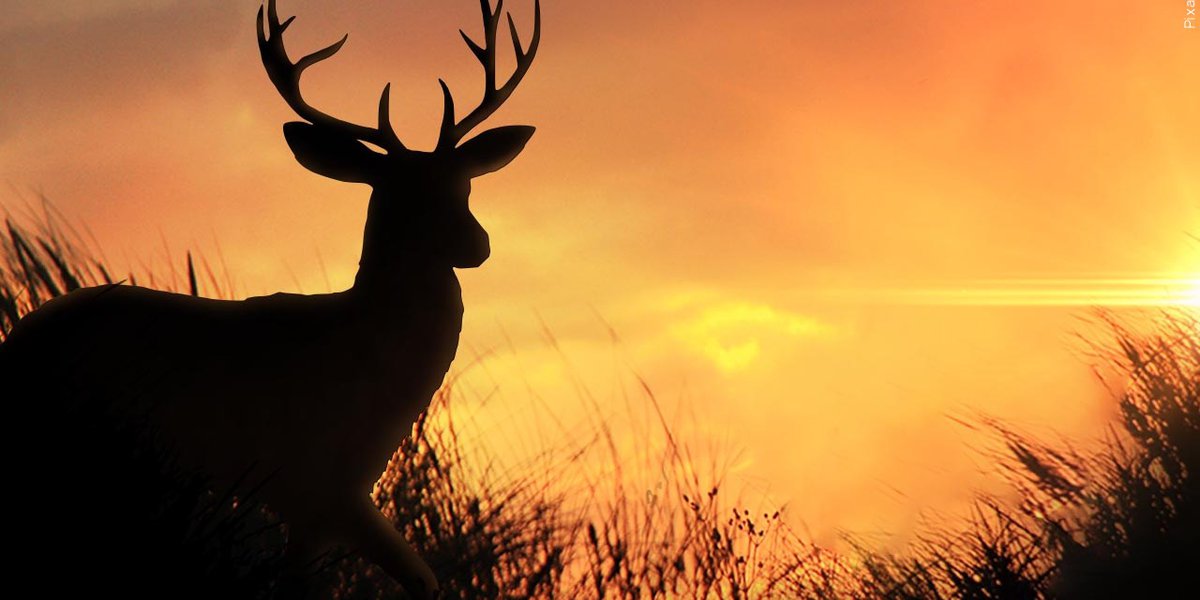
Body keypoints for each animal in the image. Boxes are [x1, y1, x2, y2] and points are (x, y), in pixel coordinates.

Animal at [0, 0, 540, 597]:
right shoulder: (315, 485)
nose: (478, 244)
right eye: (399, 195)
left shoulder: (338, 494)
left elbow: (422, 580)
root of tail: (16, 342)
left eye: (465, 185)